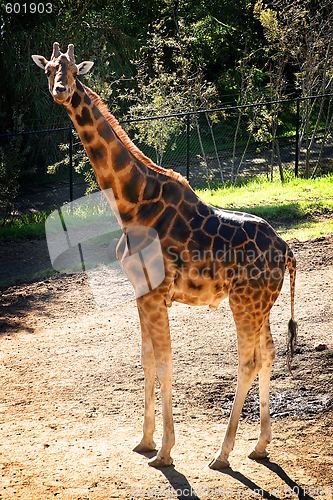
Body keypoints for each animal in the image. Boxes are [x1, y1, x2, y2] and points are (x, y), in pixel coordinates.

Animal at [32, 43, 296, 468]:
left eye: (73, 70)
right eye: (50, 69)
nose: (60, 90)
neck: (130, 203)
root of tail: (288, 251)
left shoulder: (156, 295)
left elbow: (166, 361)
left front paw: (165, 452)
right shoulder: (141, 293)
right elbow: (147, 360)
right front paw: (145, 441)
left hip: (244, 303)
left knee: (248, 360)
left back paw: (221, 455)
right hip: (261, 305)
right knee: (269, 353)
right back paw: (259, 446)